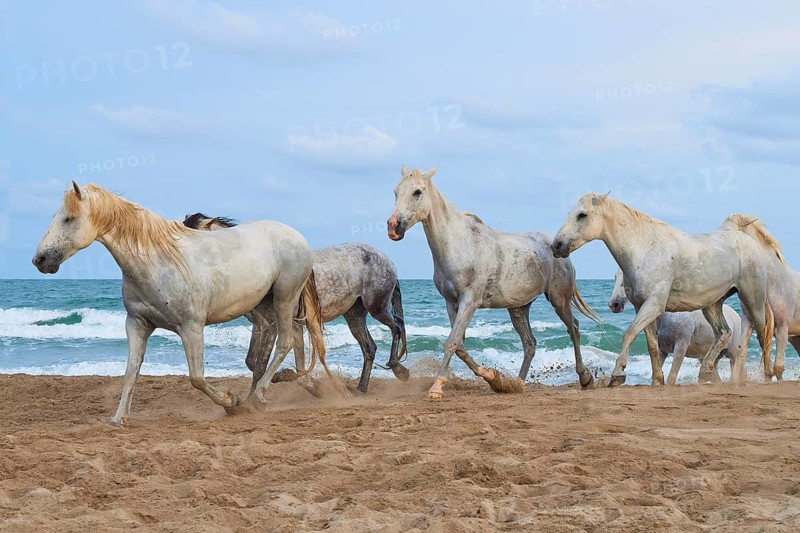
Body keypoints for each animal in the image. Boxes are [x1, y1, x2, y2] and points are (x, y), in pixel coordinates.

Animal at [33, 182, 328, 426]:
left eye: (69, 218)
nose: (40, 260)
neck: (158, 263)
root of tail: (297, 236)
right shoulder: (137, 324)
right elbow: (131, 370)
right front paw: (118, 418)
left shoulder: (191, 327)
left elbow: (196, 377)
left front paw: (231, 403)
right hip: (267, 304)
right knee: (289, 338)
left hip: (284, 296)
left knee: (285, 342)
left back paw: (256, 399)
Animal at [183, 213, 410, 393]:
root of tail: (386, 259)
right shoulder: (264, 325)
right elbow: (253, 362)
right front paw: (296, 379)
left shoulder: (273, 325)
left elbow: (260, 365)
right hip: (354, 314)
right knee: (369, 347)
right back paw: (361, 388)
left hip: (377, 306)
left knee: (397, 326)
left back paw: (398, 369)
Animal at [387, 166, 598, 399]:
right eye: (396, 191)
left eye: (417, 192)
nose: (393, 227)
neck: (458, 244)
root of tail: (558, 246)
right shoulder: (451, 303)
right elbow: (459, 345)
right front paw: (493, 377)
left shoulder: (469, 301)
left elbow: (451, 342)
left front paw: (436, 387)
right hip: (518, 308)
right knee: (530, 344)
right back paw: (515, 384)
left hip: (559, 300)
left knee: (574, 329)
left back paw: (585, 378)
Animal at [609, 268, 742, 384]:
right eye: (615, 277)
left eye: (625, 281)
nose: (614, 304)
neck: (669, 317)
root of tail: (736, 315)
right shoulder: (662, 350)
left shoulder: (681, 345)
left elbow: (672, 377)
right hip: (710, 358)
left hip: (733, 354)